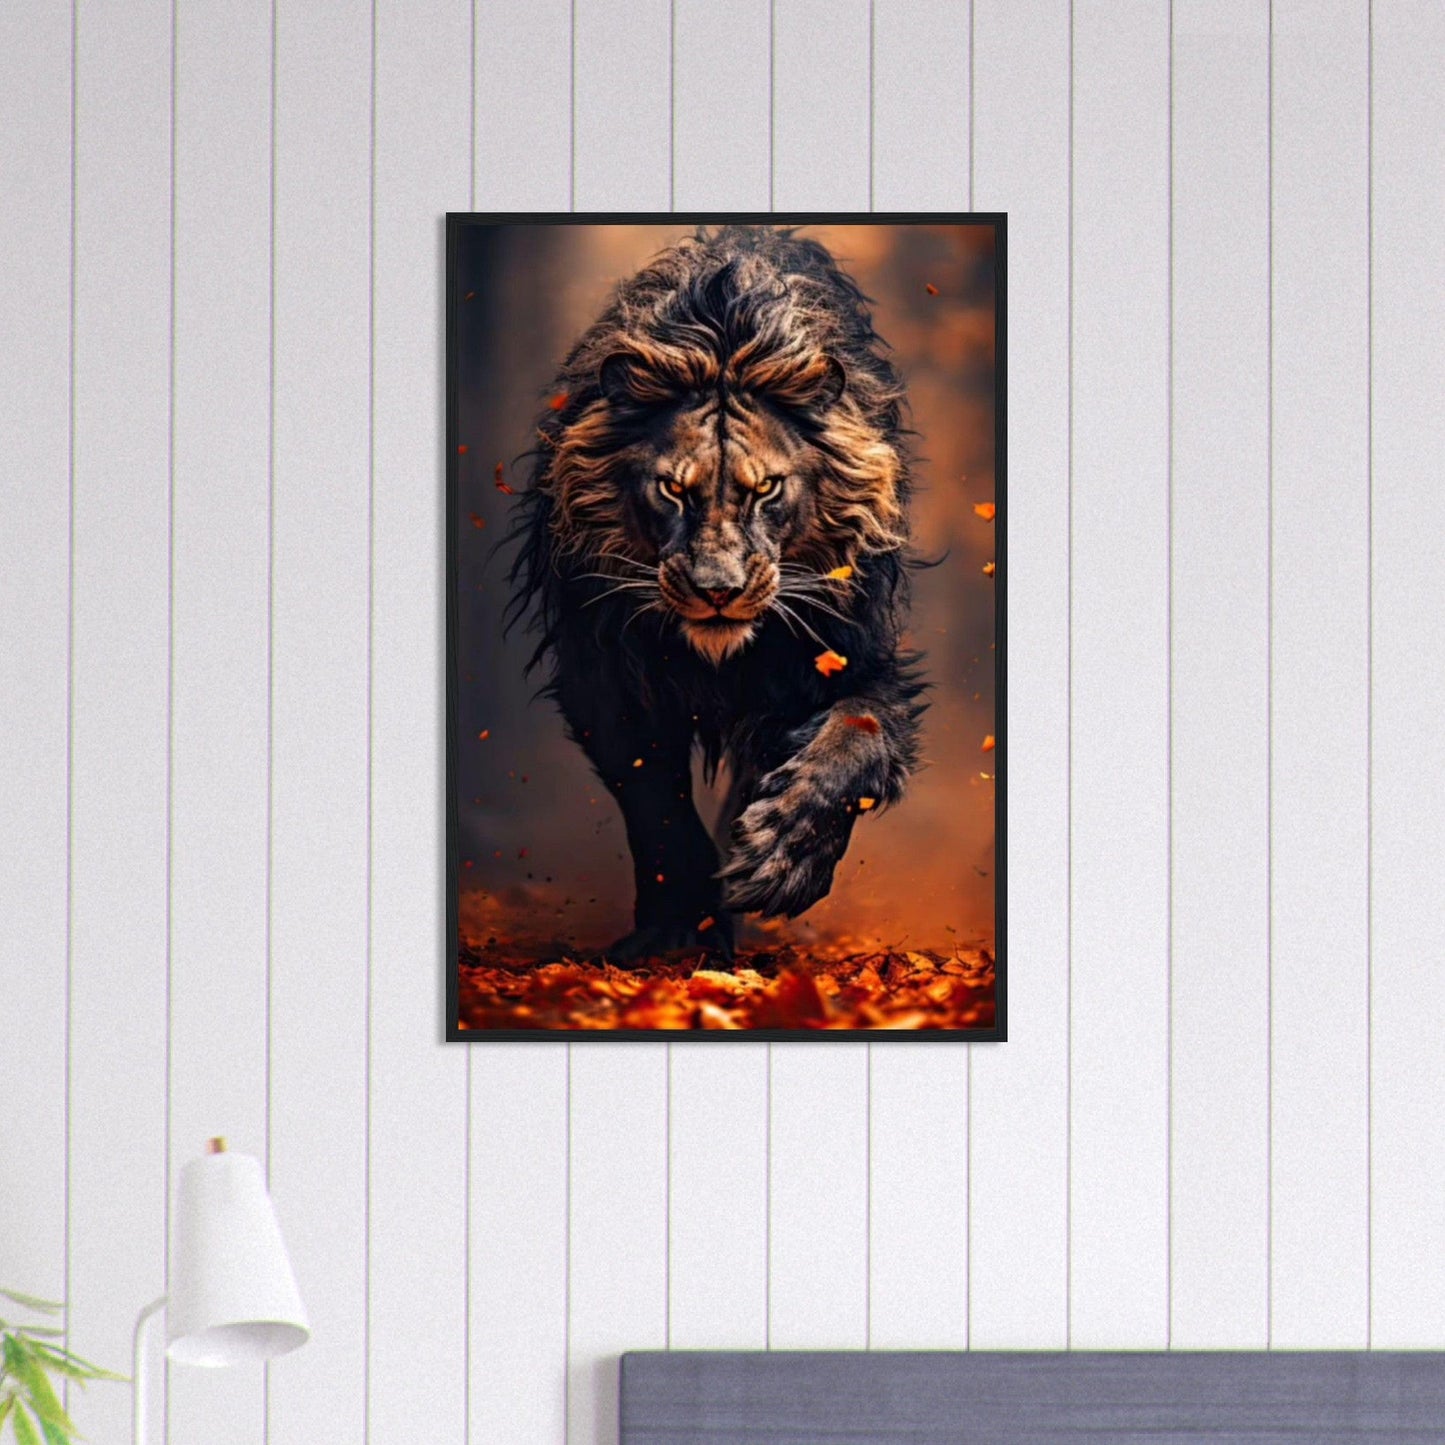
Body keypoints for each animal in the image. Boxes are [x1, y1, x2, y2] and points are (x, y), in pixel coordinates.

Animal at [507, 225, 926, 963]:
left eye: (767, 489)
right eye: (673, 489)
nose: (717, 591)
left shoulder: (858, 661)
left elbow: (854, 740)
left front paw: (781, 857)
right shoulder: (608, 677)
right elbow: (657, 808)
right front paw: (681, 929)